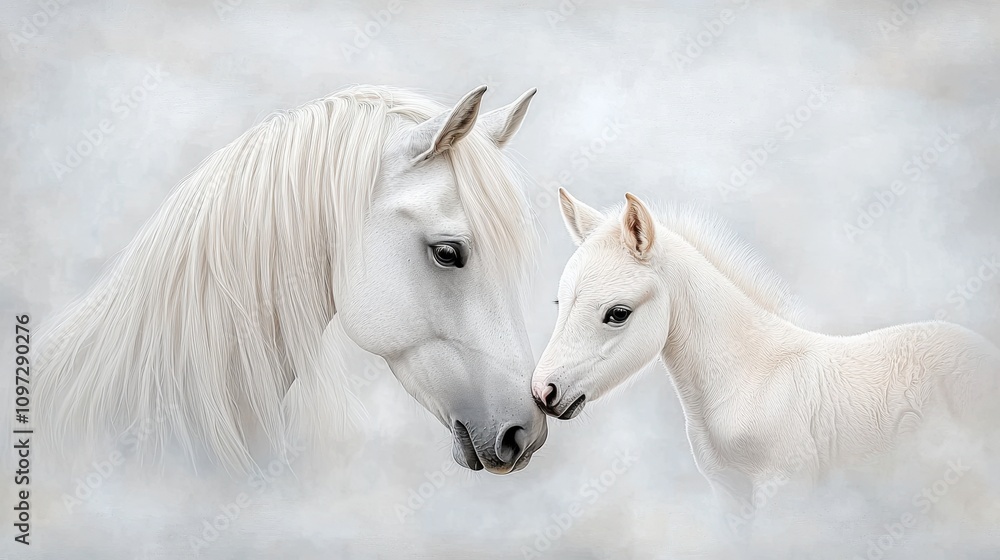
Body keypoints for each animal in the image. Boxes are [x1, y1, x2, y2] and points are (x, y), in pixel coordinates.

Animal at [531, 188, 1000, 520]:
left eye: (618, 313)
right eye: (561, 303)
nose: (543, 392)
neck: (750, 379)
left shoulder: (784, 489)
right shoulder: (728, 494)